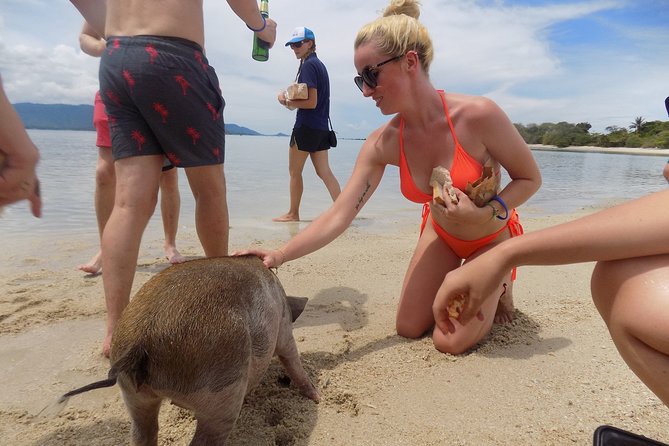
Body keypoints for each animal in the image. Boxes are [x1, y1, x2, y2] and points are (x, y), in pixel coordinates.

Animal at [56, 254, 318, 446]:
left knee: (142, 431)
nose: (319, 398)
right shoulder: (284, 329)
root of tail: (140, 340)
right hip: (221, 390)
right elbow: (292, 358)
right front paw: (316, 397)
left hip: (131, 392)